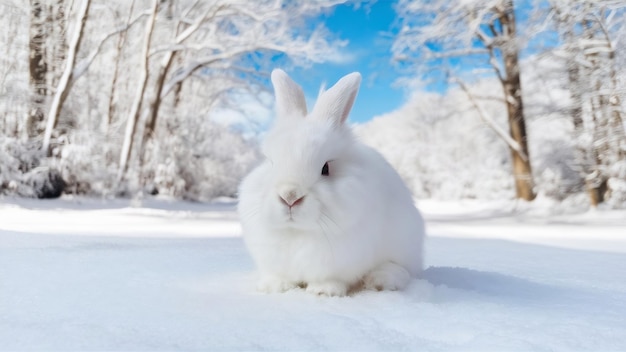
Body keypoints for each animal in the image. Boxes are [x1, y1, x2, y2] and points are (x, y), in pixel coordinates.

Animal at [235, 69, 424, 296]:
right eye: (270, 162)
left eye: (326, 168)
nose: (289, 196)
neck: (297, 231)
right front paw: (275, 287)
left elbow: (330, 278)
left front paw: (323, 291)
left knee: (401, 268)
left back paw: (381, 281)